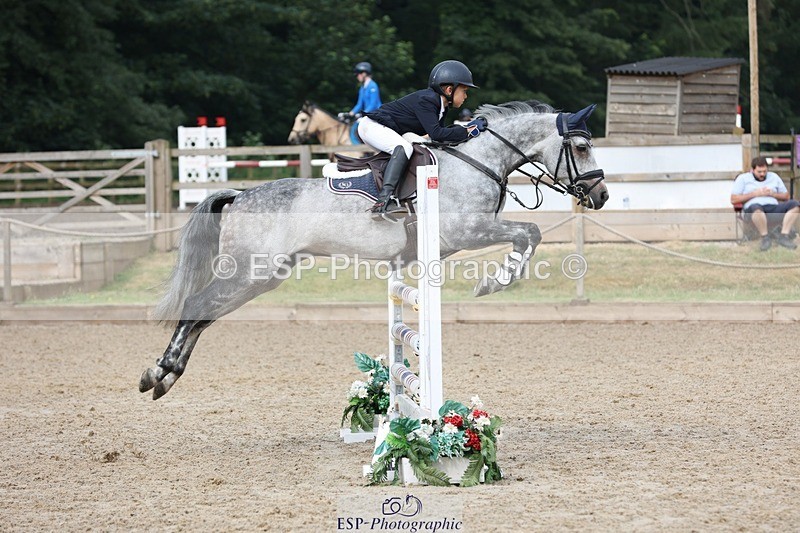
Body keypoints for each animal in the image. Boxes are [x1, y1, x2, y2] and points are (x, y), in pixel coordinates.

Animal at [140, 100, 609, 400]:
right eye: (581, 147)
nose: (601, 195)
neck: (478, 161)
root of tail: (239, 195)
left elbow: (528, 234)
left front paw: (500, 279)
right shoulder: (467, 231)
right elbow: (528, 232)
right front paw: (495, 282)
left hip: (260, 277)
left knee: (204, 314)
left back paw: (165, 377)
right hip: (248, 271)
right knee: (197, 307)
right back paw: (158, 372)